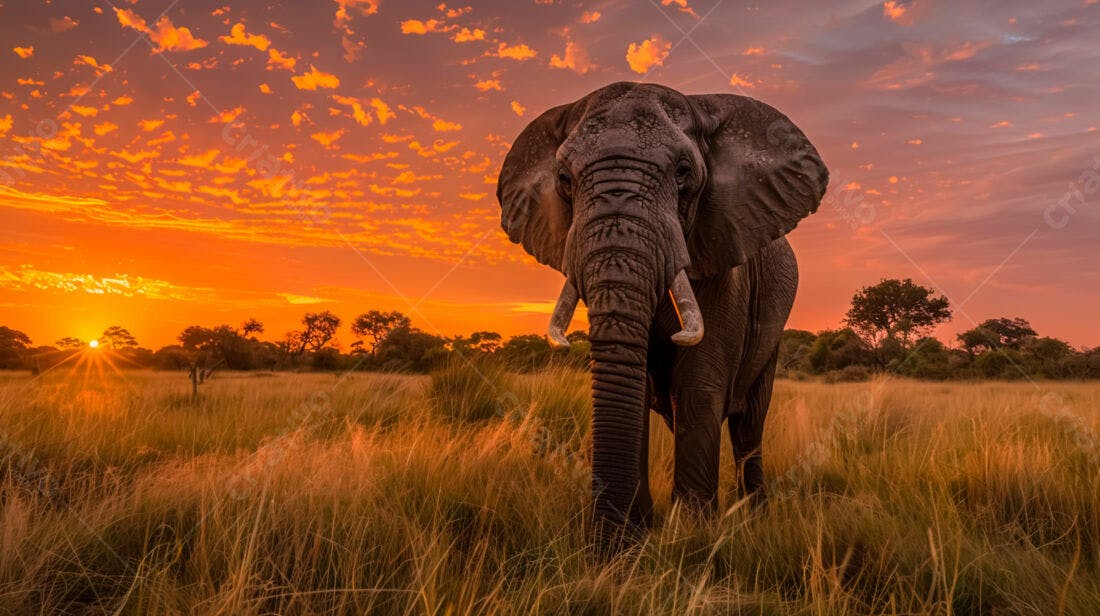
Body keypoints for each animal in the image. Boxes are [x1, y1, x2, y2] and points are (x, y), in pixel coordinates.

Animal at [496, 82, 829, 546]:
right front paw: (634, 535)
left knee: (748, 422)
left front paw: (692, 533)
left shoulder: (726, 257)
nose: (606, 542)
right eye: (564, 179)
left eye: (683, 172)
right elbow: (633, 385)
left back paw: (754, 513)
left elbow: (698, 388)